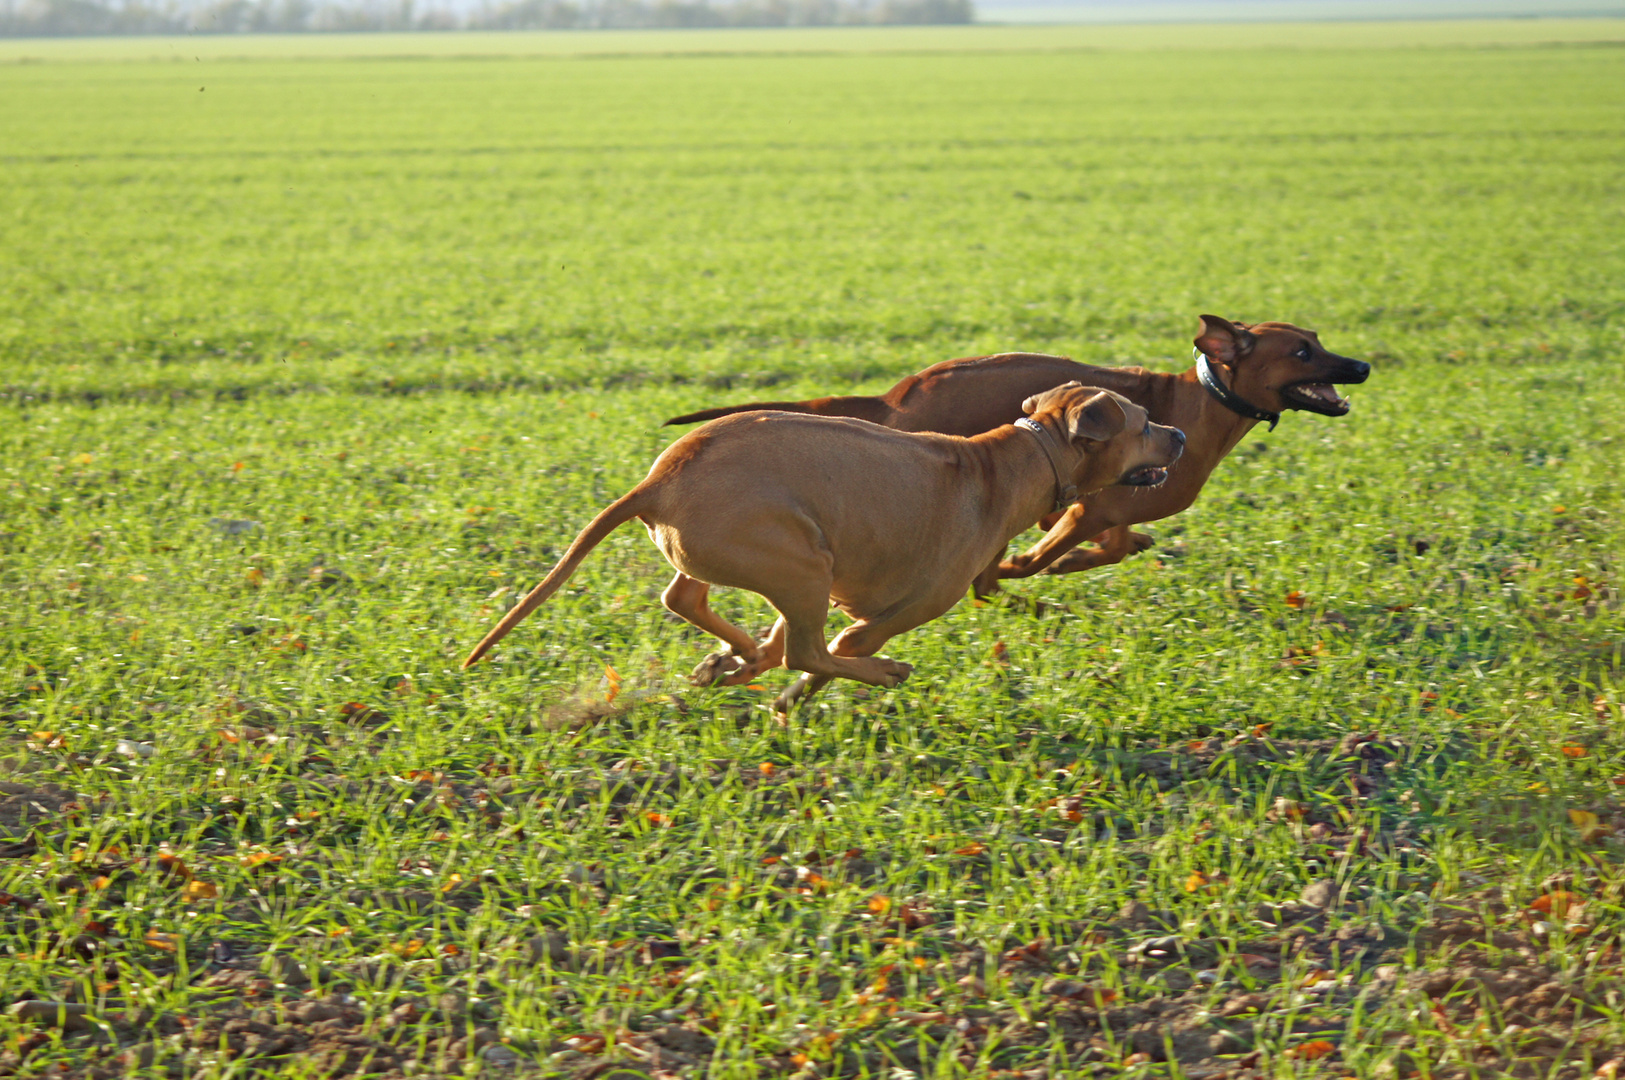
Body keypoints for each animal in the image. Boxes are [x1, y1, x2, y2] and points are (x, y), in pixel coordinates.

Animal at [464, 383, 1189, 711]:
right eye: (1142, 422)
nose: (1181, 435)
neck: (1018, 460)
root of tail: (659, 480)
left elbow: (779, 643)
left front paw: (735, 667)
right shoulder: (891, 612)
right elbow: (831, 652)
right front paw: (790, 693)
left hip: (766, 559)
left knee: (687, 597)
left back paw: (737, 653)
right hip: (803, 562)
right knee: (809, 649)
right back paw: (880, 674)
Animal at [659, 316, 1371, 594]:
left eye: (1317, 339)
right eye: (1301, 352)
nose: (1362, 366)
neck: (1198, 403)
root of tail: (894, 398)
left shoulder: (1093, 507)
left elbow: (1115, 544)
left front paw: (1090, 558)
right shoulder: (1085, 508)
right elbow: (1047, 555)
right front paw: (1032, 567)